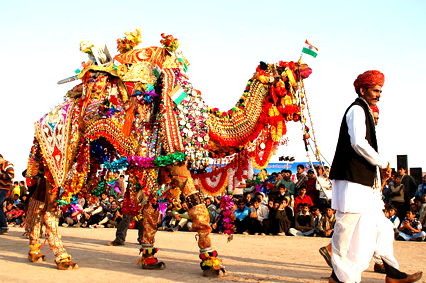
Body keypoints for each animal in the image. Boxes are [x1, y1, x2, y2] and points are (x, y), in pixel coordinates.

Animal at [24, 30, 312, 276]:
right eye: (284, 71)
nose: (305, 68)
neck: (205, 122)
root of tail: (44, 120)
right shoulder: (176, 158)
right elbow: (197, 205)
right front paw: (213, 264)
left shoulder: (161, 164)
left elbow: (152, 209)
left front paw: (149, 259)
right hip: (65, 152)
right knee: (50, 207)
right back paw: (63, 259)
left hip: (58, 160)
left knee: (37, 202)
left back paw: (36, 253)